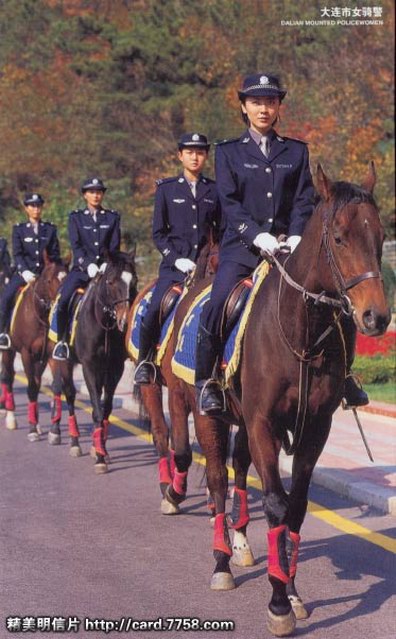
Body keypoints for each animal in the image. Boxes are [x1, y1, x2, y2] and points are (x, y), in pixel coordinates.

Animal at [0, 258, 67, 438]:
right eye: (49, 280)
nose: (60, 303)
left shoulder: (48, 355)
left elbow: (47, 387)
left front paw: (44, 427)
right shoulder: (26, 353)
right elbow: (30, 387)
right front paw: (31, 429)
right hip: (7, 350)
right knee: (8, 377)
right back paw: (11, 417)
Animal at [49, 252, 138, 472]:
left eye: (134, 281)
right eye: (110, 281)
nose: (124, 321)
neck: (103, 324)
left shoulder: (114, 368)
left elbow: (105, 409)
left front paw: (101, 450)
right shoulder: (89, 367)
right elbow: (97, 409)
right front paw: (99, 457)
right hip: (64, 362)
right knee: (69, 394)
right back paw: (74, 442)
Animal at [162, 164, 390, 636]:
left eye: (379, 235)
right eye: (338, 237)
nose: (376, 318)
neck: (300, 329)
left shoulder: (315, 428)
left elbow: (296, 509)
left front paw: (294, 592)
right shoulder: (263, 424)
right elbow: (273, 503)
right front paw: (279, 602)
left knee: (235, 470)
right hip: (204, 412)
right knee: (216, 479)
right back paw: (222, 563)